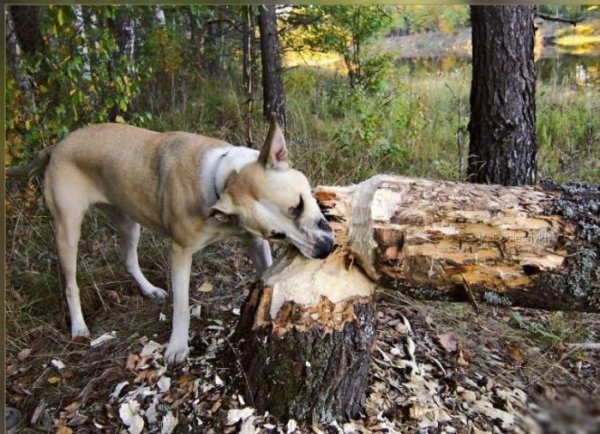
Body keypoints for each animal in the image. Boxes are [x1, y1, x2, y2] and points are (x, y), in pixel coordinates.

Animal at [41, 117, 332, 364]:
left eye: (299, 204)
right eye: (278, 233)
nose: (324, 250)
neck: (222, 180)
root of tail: (57, 146)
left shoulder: (254, 240)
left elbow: (267, 270)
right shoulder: (180, 252)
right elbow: (181, 305)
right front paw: (177, 346)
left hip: (128, 221)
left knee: (129, 260)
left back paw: (149, 290)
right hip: (67, 230)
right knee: (71, 283)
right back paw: (79, 326)